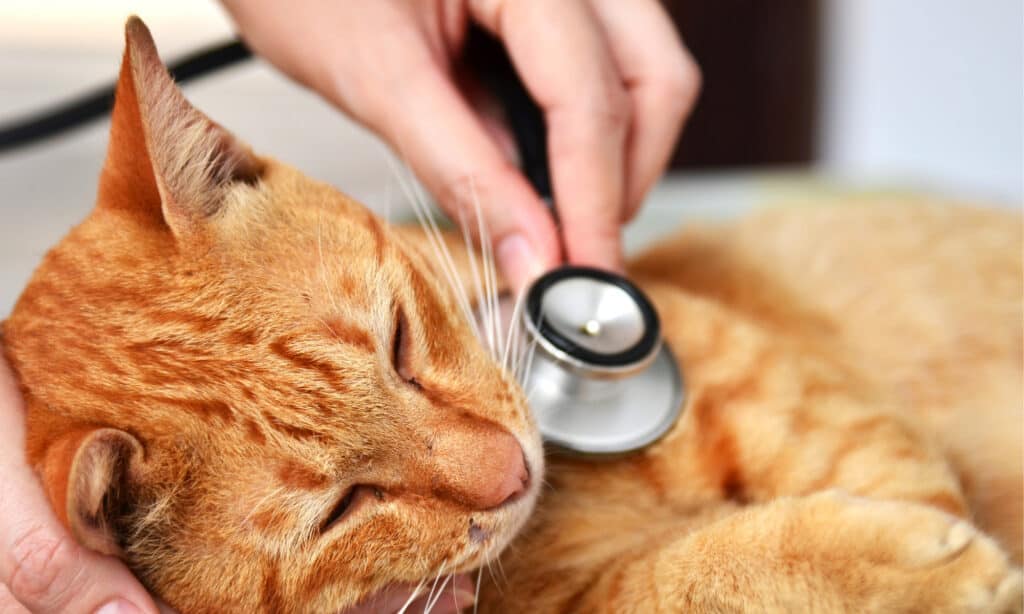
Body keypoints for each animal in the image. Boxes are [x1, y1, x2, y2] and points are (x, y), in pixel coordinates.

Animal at [4, 16, 1019, 609]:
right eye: (344, 508)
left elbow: (875, 462)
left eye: (400, 342)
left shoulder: (768, 379)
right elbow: (698, 571)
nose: (513, 472)